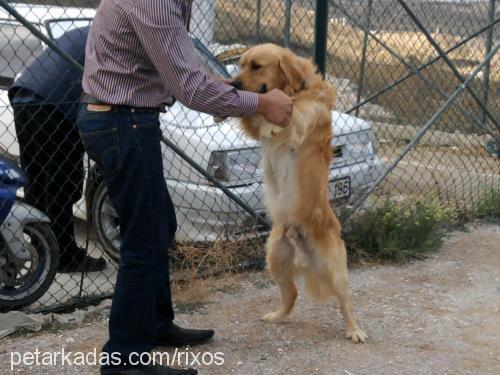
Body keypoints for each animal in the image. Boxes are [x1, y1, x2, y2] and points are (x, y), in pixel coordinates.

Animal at [231, 43, 368, 344]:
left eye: (256, 66)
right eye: (240, 65)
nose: (233, 85)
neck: (296, 87)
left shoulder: (308, 115)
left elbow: (294, 109)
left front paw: (274, 119)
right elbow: (253, 115)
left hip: (335, 268)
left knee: (346, 301)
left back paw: (354, 330)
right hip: (275, 259)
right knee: (291, 295)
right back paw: (277, 315)